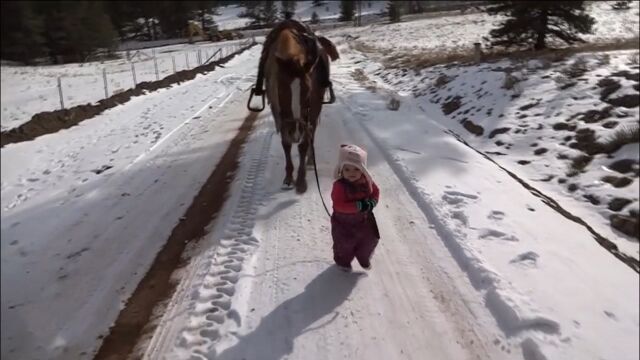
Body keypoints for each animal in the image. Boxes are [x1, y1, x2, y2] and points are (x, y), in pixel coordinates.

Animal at [250, 19, 340, 193]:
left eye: (308, 91)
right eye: (279, 90)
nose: (295, 131)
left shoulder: (311, 109)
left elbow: (304, 144)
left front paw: (300, 181)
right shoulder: (278, 113)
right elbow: (286, 144)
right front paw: (288, 178)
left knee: (312, 133)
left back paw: (310, 160)